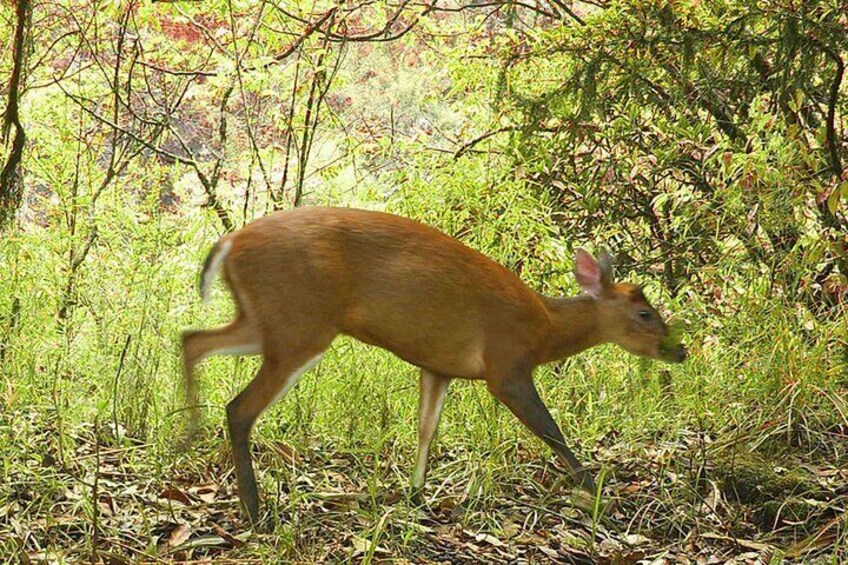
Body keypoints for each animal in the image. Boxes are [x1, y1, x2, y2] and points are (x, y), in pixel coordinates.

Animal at [181, 206, 686, 524]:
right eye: (645, 313)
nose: (679, 351)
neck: (546, 328)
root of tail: (229, 240)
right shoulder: (506, 366)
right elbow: (550, 430)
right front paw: (598, 493)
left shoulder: (438, 366)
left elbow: (426, 428)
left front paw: (416, 493)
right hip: (299, 325)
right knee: (239, 407)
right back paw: (255, 512)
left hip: (266, 320)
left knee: (192, 339)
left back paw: (189, 436)